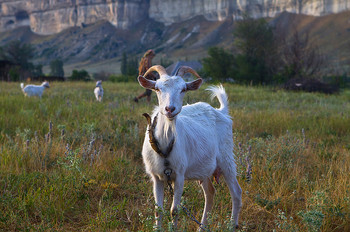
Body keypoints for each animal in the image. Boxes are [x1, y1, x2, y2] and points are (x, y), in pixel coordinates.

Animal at [138, 65, 242, 230]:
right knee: (210, 192)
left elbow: (174, 210)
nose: (170, 109)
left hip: (227, 158)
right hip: (204, 167)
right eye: (158, 88)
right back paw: (202, 227)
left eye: (183, 89)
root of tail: (221, 112)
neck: (165, 145)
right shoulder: (156, 176)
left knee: (236, 192)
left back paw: (232, 225)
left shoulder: (179, 175)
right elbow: (158, 210)